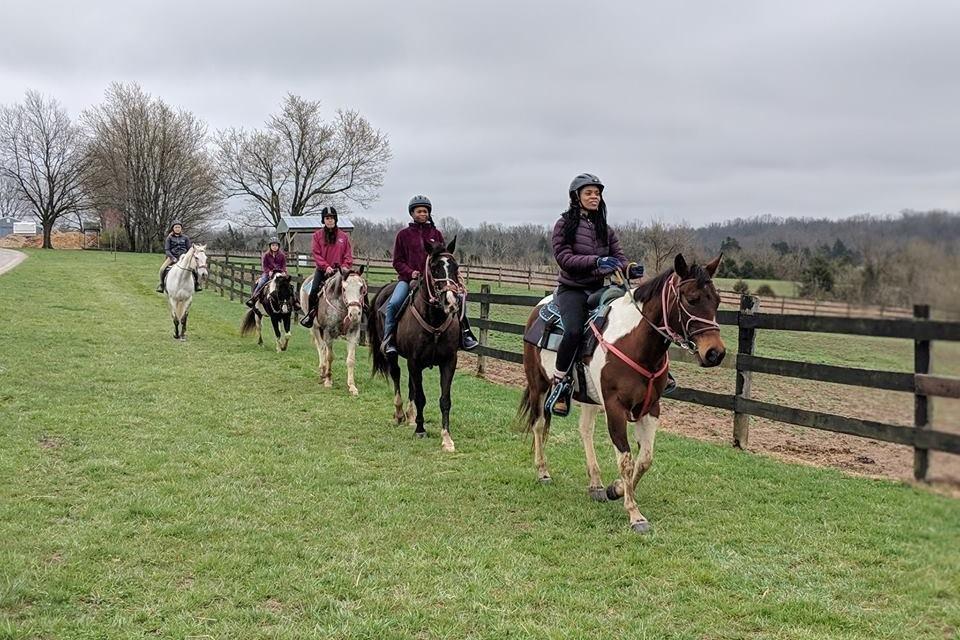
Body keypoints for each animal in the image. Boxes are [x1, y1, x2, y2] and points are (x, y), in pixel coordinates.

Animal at [302, 266, 370, 396]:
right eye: (344, 288)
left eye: (361, 288)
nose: (354, 314)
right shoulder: (328, 333)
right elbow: (330, 356)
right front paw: (328, 381)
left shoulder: (353, 333)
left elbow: (351, 360)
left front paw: (352, 386)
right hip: (315, 327)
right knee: (321, 347)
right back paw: (323, 371)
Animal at [368, 238, 462, 452]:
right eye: (434, 268)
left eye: (455, 267)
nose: (451, 302)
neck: (434, 319)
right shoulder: (414, 361)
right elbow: (420, 397)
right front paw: (420, 429)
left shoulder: (448, 362)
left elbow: (445, 400)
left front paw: (447, 438)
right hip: (393, 355)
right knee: (396, 375)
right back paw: (400, 413)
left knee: (411, 383)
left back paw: (410, 417)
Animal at [520, 252, 724, 532]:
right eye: (691, 299)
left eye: (717, 300)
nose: (715, 353)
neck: (635, 343)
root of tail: (539, 307)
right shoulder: (615, 407)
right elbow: (626, 459)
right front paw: (635, 514)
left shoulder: (650, 408)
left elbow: (645, 459)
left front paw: (615, 489)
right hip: (538, 383)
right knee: (539, 424)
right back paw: (542, 472)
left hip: (589, 397)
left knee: (585, 430)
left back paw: (595, 484)